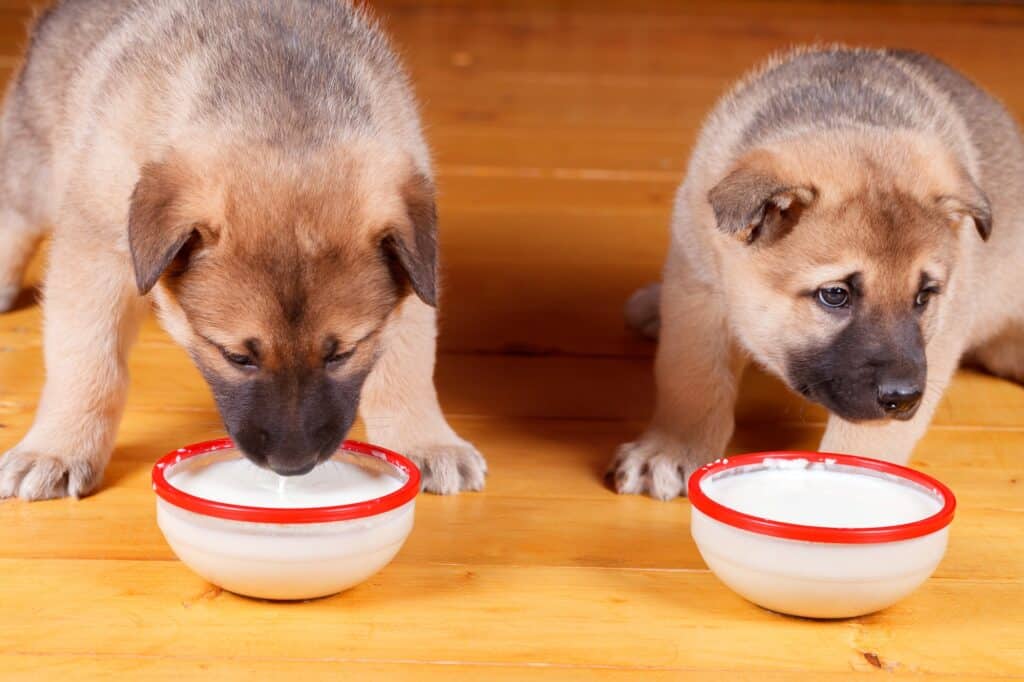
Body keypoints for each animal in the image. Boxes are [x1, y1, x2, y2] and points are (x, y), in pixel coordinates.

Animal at [0, 0, 485, 499]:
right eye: (237, 357)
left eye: (341, 355)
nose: (292, 466)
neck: (285, 119)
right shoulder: (96, 254)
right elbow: (87, 363)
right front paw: (57, 449)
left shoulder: (415, 276)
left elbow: (407, 366)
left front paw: (425, 440)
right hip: (33, 166)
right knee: (14, 216)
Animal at [610, 45, 1019, 497]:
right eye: (835, 294)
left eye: (924, 297)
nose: (905, 398)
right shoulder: (700, 286)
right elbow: (692, 375)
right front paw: (671, 450)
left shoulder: (939, 339)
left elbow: (863, 443)